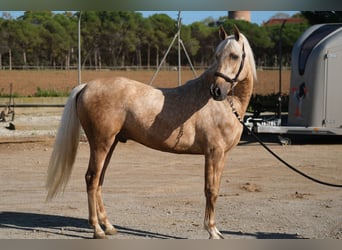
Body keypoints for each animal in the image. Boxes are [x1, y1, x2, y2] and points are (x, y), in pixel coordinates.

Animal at [46, 24, 256, 238]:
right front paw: (212, 230)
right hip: (100, 143)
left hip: (110, 144)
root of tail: (86, 86)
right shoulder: (214, 152)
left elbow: (215, 189)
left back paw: (109, 226)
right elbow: (211, 190)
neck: (228, 104)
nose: (216, 91)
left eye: (234, 56)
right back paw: (97, 229)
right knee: (91, 178)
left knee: (99, 180)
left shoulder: (222, 155)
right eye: (216, 55)